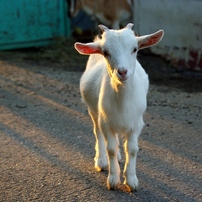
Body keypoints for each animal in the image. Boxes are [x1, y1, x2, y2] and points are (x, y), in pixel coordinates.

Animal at [74, 23, 164, 191]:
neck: (122, 103)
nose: (122, 72)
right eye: (106, 52)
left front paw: (131, 181)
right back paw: (101, 161)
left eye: (135, 49)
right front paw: (113, 179)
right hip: (94, 111)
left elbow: (132, 149)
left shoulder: (136, 123)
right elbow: (111, 149)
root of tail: (96, 42)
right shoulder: (105, 122)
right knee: (98, 134)